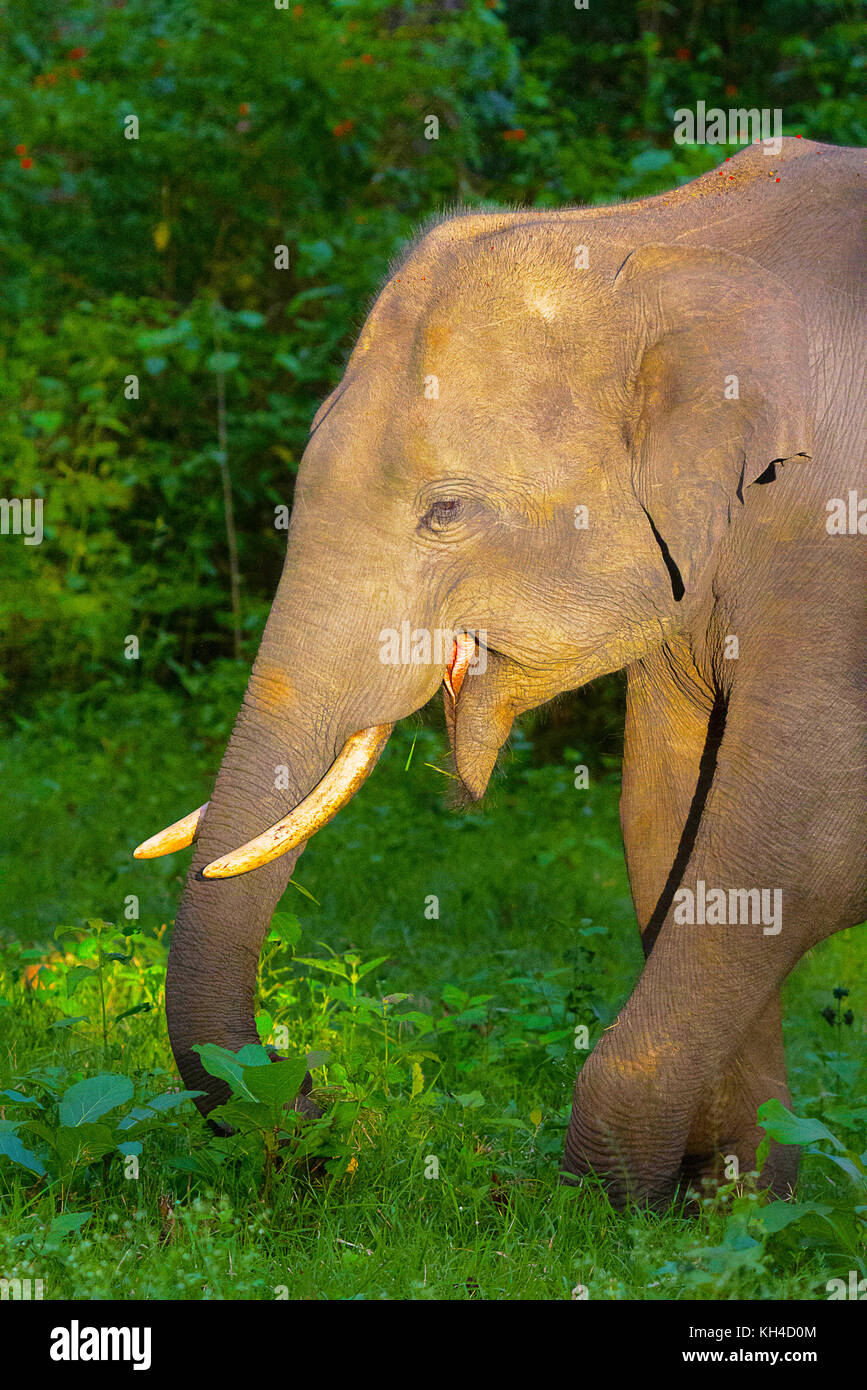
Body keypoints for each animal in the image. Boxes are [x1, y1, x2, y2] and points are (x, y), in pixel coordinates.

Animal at [136, 135, 867, 1212]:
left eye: (446, 510)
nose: (318, 1106)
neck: (657, 237)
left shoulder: (837, 555)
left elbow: (795, 839)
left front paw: (605, 1205)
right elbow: (667, 817)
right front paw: (726, 1202)